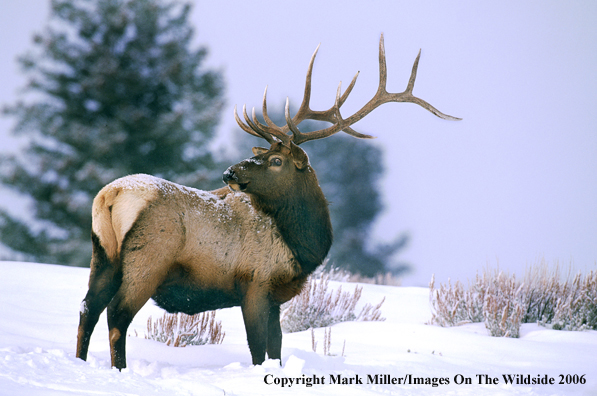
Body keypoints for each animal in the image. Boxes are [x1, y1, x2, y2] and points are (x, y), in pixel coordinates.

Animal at [73, 34, 456, 372]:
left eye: (275, 160)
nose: (228, 172)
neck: (302, 245)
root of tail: (110, 195)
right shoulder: (256, 284)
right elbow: (259, 349)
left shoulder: (273, 297)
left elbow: (277, 348)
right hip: (148, 258)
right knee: (117, 314)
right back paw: (120, 371)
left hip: (103, 254)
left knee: (87, 309)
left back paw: (80, 362)